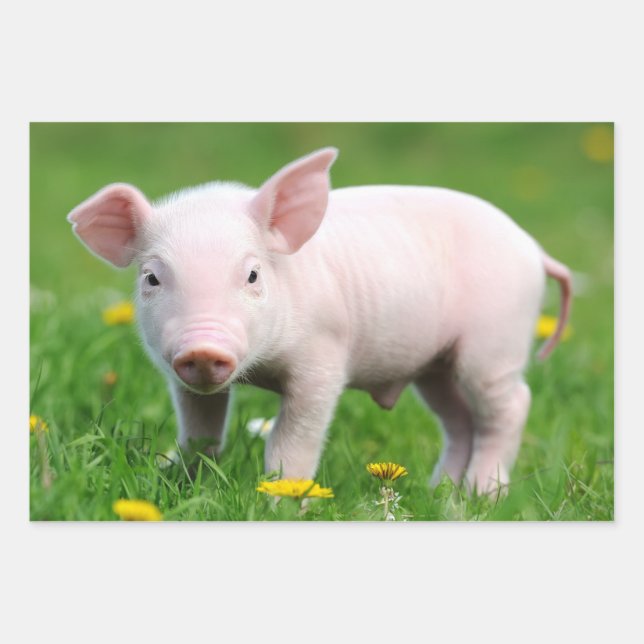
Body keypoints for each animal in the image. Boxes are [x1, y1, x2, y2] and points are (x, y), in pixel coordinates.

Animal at [67, 147, 572, 494]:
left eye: (252, 274)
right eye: (152, 277)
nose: (203, 348)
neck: (261, 368)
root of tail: (534, 249)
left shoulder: (323, 359)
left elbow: (292, 440)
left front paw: (283, 498)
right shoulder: (183, 380)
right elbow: (200, 432)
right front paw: (175, 478)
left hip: (495, 342)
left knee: (511, 405)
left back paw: (482, 495)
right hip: (436, 366)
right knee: (460, 421)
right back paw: (439, 494)